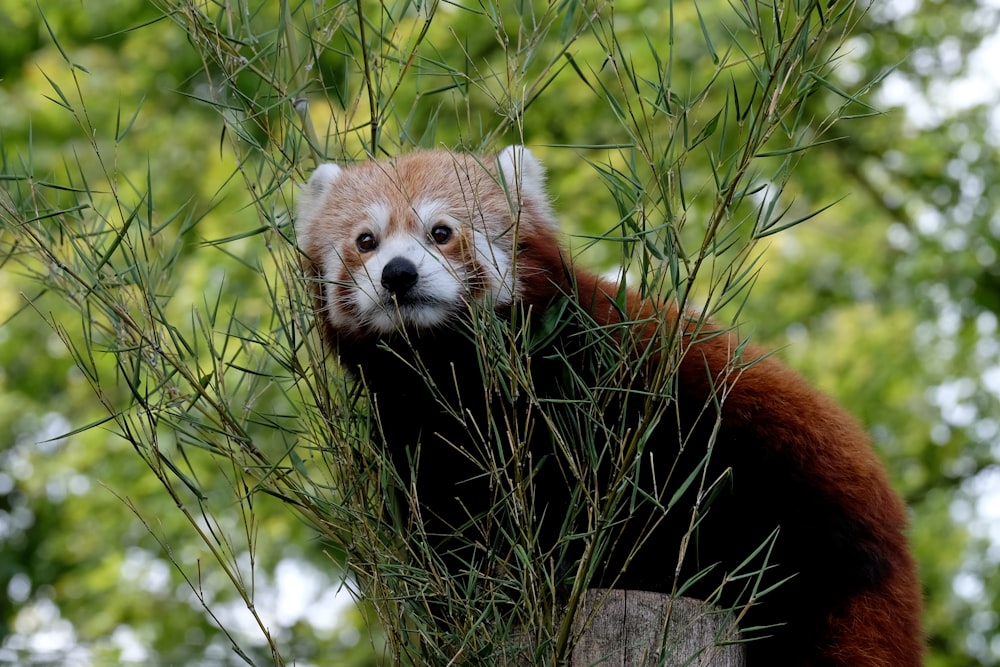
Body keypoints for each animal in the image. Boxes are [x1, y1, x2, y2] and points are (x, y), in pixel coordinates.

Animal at [294, 147, 920, 667]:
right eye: (366, 241)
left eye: (441, 231)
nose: (398, 275)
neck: (449, 371)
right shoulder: (421, 439)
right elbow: (450, 531)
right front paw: (469, 606)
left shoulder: (593, 389)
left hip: (776, 492)